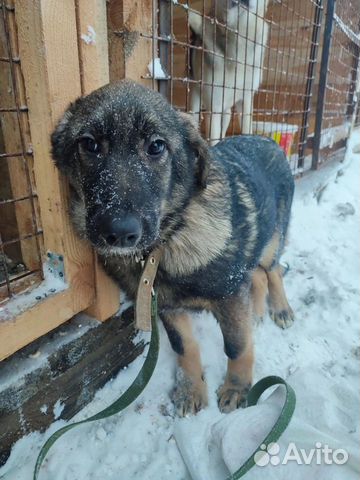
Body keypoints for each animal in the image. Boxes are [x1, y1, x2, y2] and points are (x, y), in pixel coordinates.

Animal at [50, 79, 294, 416]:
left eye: (156, 146)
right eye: (89, 144)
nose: (119, 233)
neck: (167, 240)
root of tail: (267, 140)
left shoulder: (229, 294)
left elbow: (237, 345)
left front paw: (237, 387)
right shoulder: (167, 306)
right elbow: (184, 346)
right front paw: (191, 389)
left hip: (272, 240)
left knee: (273, 270)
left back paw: (280, 309)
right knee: (256, 275)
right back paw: (257, 312)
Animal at [190, 0, 268, 142]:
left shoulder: (246, 100)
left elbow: (247, 130)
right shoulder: (214, 107)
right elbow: (214, 140)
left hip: (226, 111)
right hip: (196, 102)